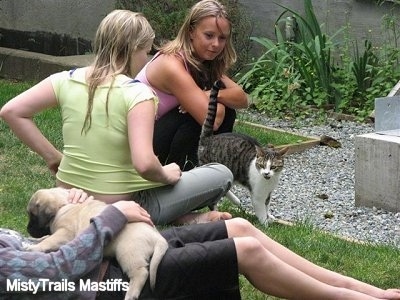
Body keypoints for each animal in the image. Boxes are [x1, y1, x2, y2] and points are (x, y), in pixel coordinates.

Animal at [198, 81, 288, 224]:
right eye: (262, 165)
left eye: (273, 167)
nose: (267, 173)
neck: (268, 182)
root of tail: (208, 138)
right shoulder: (257, 196)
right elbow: (261, 211)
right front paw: (265, 224)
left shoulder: (268, 193)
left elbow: (267, 205)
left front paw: (270, 216)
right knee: (214, 198)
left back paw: (235, 200)